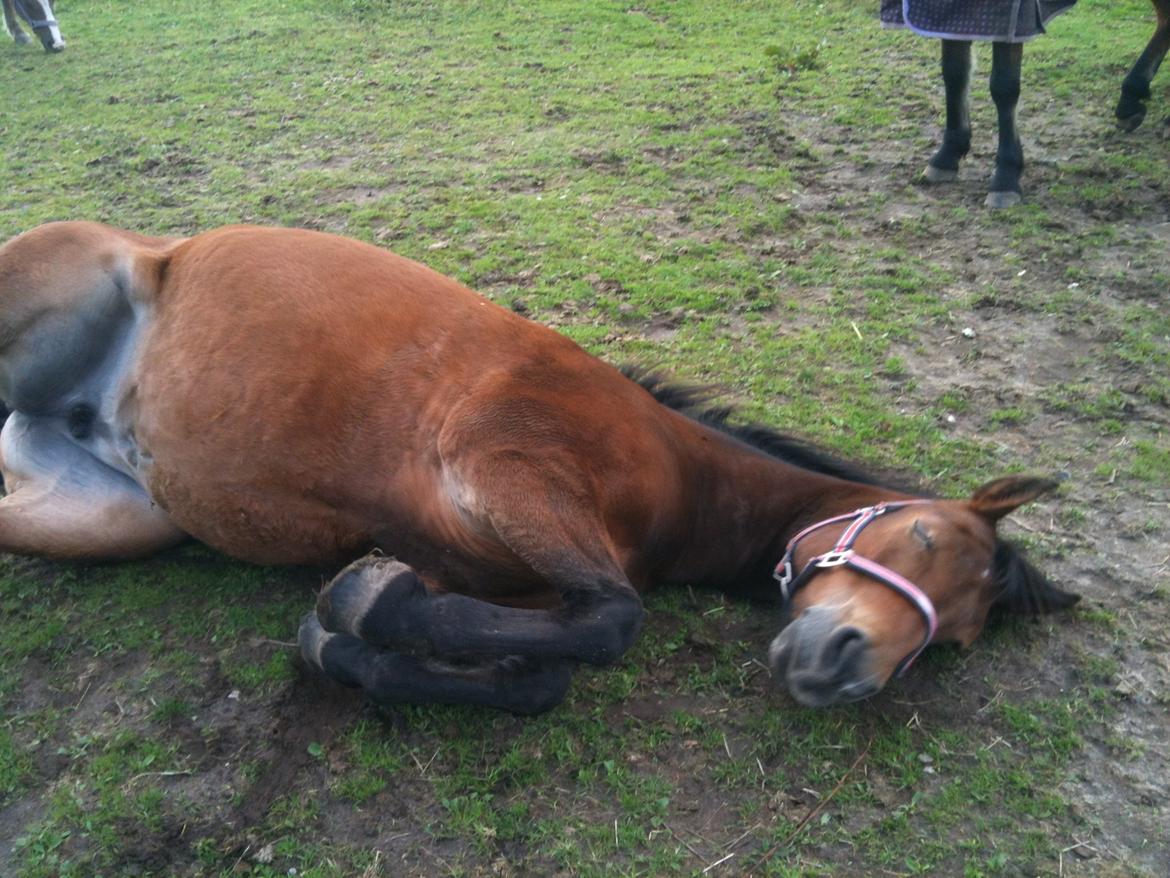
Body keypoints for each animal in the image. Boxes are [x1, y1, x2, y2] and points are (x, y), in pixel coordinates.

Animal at [0, 221, 1076, 716]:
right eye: (925, 534)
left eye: (956, 639)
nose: (846, 669)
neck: (675, 476)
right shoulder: (508, 467)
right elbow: (612, 620)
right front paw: (372, 615)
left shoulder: (479, 566)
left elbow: (526, 668)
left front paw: (352, 636)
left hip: (118, 516)